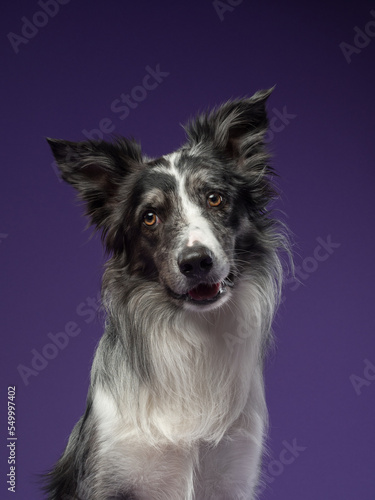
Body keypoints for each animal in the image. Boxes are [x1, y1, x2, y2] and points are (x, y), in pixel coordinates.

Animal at [45, 88, 290, 498]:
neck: (194, 335)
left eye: (215, 198)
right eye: (149, 217)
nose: (196, 262)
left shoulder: (232, 474)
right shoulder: (109, 475)